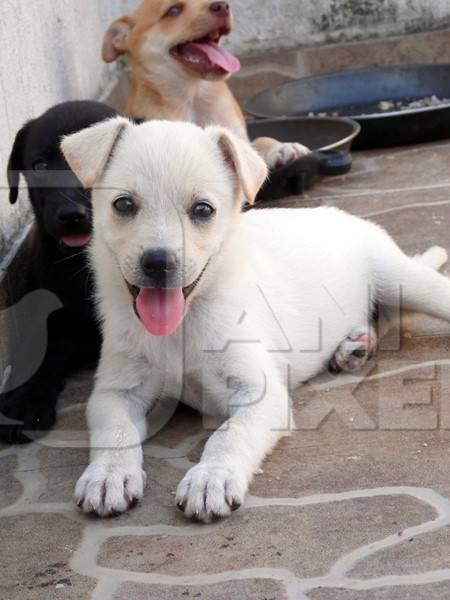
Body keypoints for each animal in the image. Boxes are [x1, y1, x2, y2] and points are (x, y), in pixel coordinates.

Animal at [60, 117, 450, 520]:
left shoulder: (260, 394)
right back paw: (355, 346)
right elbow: (115, 430)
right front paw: (108, 475)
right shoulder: (115, 391)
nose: (158, 262)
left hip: (403, 279)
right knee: (382, 318)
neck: (183, 324)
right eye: (123, 204)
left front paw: (211, 478)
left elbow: (230, 434)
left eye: (203, 210)